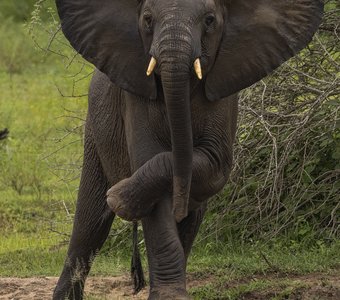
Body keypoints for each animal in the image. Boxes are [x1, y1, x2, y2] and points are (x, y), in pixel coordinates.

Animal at [53, 0, 324, 298]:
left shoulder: (223, 95)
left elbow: (214, 166)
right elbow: (151, 167)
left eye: (209, 20)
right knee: (89, 222)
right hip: (96, 129)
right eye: (147, 19)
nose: (180, 204)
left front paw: (120, 198)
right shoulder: (135, 95)